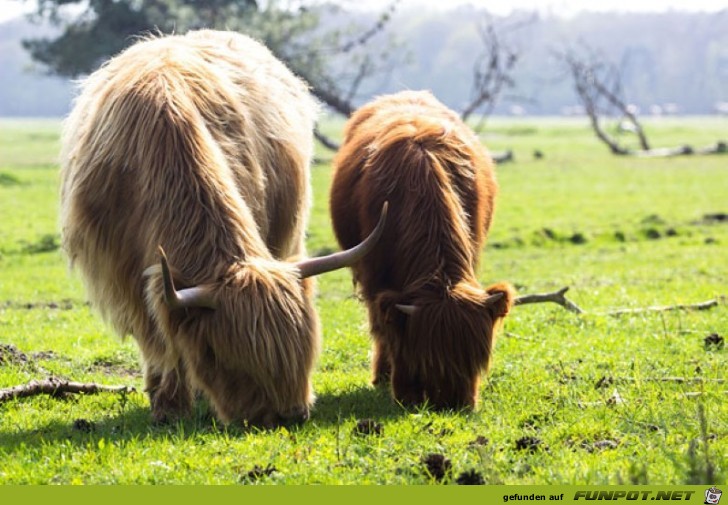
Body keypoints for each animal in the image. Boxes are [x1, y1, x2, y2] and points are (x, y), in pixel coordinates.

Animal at [330, 89, 512, 410]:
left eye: (475, 360)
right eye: (429, 359)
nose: (453, 404)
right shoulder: (375, 276)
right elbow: (387, 328)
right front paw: (397, 386)